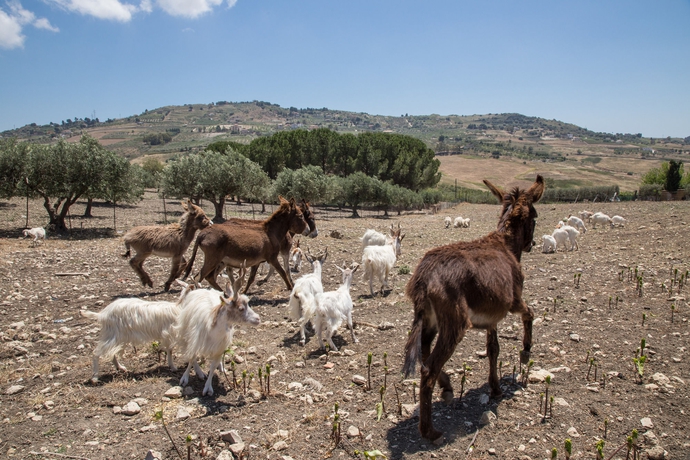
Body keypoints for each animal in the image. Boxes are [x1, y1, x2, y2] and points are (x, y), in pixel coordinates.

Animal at [173, 264, 260, 398]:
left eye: (249, 304)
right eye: (241, 308)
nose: (258, 318)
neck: (212, 332)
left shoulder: (220, 348)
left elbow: (213, 366)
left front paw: (208, 388)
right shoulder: (194, 340)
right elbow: (192, 357)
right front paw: (184, 379)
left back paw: (220, 366)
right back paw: (199, 372)